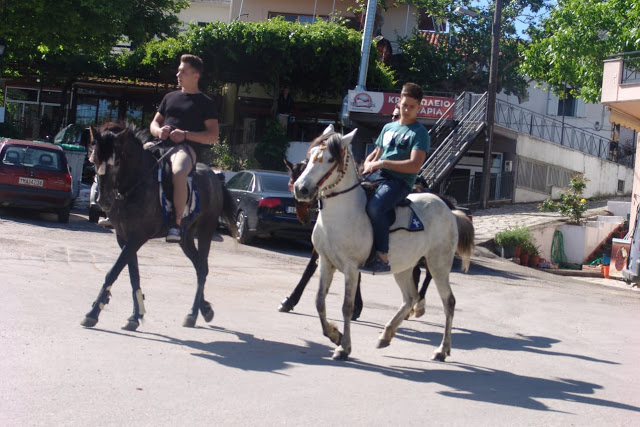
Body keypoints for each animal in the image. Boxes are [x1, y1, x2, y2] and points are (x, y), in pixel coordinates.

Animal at [80, 122, 238, 332]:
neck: (135, 185)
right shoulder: (124, 237)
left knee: (202, 268)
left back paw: (192, 314)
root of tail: (215, 177)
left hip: (206, 230)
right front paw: (135, 315)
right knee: (199, 266)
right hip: (186, 237)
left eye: (117, 162)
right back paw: (205, 310)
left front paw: (92, 313)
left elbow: (113, 271)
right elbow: (133, 274)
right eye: (94, 159)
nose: (103, 201)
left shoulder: (137, 237)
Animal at [292, 126, 472, 362]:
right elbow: (319, 301)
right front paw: (334, 335)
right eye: (310, 155)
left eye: (330, 158)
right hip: (403, 267)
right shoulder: (325, 262)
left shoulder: (351, 268)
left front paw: (344, 347)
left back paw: (442, 350)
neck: (343, 213)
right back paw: (386, 335)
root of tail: (449, 210)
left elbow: (346, 307)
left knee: (448, 301)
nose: (301, 189)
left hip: (438, 264)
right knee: (410, 297)